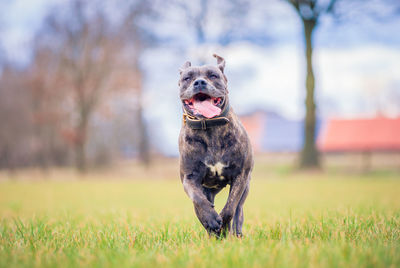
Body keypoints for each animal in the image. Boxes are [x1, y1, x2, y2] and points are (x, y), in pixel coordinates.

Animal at [178, 54, 253, 237]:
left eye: (213, 75)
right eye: (187, 78)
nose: (199, 82)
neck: (209, 127)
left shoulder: (240, 176)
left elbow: (230, 207)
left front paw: (223, 226)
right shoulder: (189, 178)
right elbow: (198, 200)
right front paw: (211, 220)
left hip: (246, 185)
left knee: (239, 210)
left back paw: (235, 233)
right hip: (207, 189)